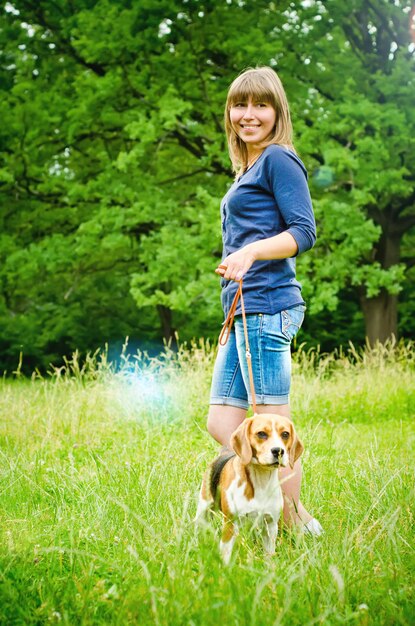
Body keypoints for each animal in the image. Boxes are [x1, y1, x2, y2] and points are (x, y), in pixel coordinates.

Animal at [197, 412, 304, 564]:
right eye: (261, 434)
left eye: (285, 434)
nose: (278, 451)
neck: (261, 481)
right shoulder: (230, 523)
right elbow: (226, 553)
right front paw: (225, 568)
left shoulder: (271, 525)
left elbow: (269, 555)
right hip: (203, 509)